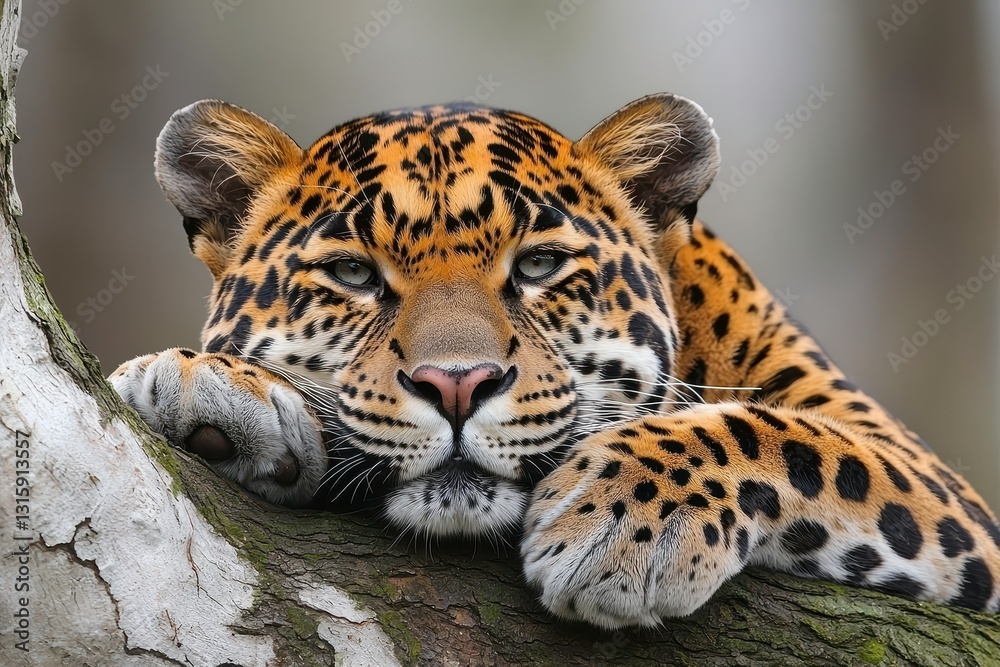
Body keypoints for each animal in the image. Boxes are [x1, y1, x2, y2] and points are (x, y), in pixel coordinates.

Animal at [109, 93, 1000, 628]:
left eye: (538, 265)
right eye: (355, 275)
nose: (457, 385)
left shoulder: (948, 497)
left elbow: (789, 437)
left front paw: (628, 521)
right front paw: (206, 383)